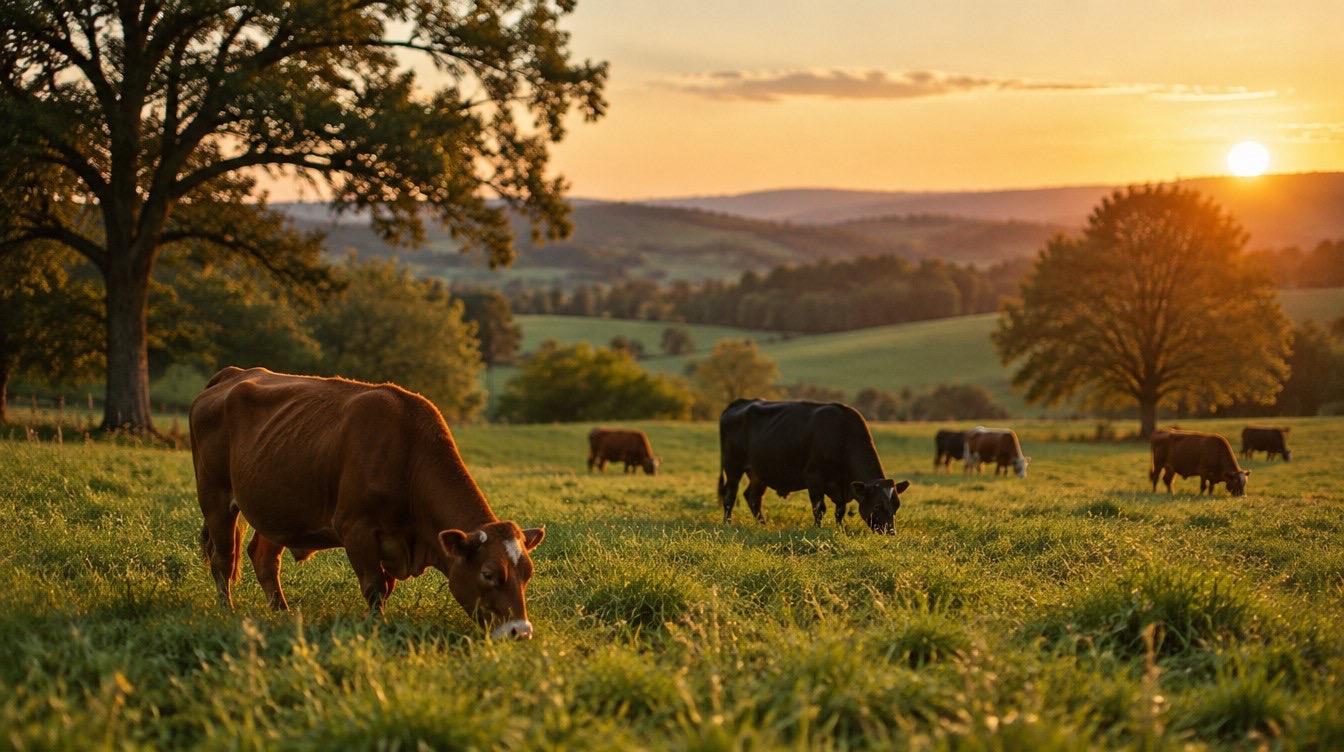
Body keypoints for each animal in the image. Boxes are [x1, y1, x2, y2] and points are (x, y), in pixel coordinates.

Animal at [189, 366, 546, 640]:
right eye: (488, 573)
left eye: (527, 573)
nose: (520, 631)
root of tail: (235, 374)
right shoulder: (356, 529)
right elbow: (374, 587)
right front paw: (377, 627)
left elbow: (385, 587)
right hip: (215, 498)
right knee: (223, 560)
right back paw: (227, 609)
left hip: (279, 511)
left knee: (263, 558)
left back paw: (282, 613)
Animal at [717, 399, 910, 534]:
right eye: (876, 506)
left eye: (896, 505)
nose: (891, 532)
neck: (843, 435)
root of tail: (741, 402)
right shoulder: (814, 478)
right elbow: (819, 509)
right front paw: (818, 529)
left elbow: (839, 511)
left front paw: (840, 529)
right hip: (733, 467)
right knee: (730, 496)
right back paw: (727, 523)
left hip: (758, 474)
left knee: (753, 497)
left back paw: (763, 525)